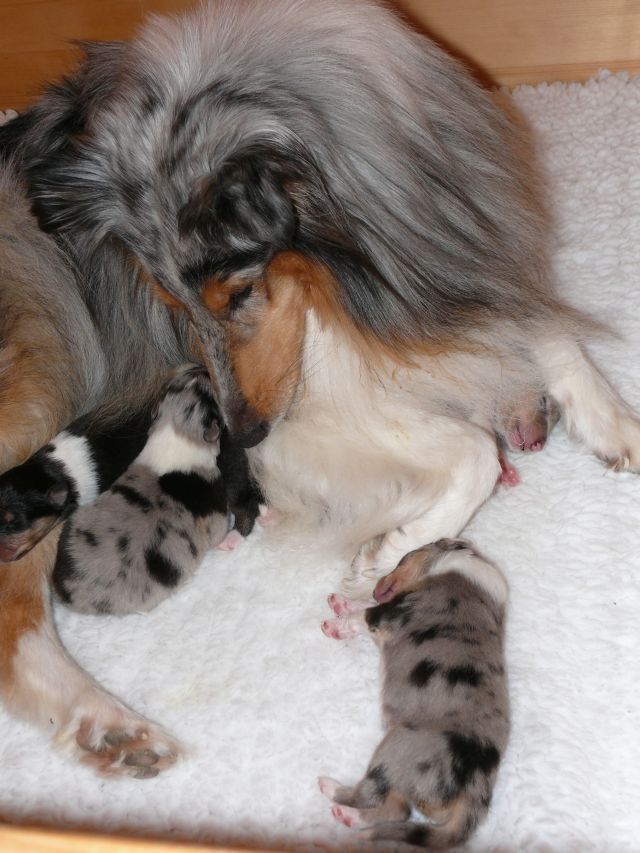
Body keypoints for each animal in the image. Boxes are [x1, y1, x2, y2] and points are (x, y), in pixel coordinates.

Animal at [0, 0, 639, 772]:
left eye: (239, 293)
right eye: (175, 304)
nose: (242, 434)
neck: (345, 282)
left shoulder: (452, 281)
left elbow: (548, 335)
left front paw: (616, 425)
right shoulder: (313, 412)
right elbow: (468, 454)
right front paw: (385, 554)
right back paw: (111, 724)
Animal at [319, 539, 509, 848]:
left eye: (401, 559)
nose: (376, 584)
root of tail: (476, 786)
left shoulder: (390, 613)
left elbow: (364, 614)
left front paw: (338, 624)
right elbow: (366, 606)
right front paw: (343, 602)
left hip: (394, 748)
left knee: (374, 798)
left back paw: (335, 797)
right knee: (397, 810)